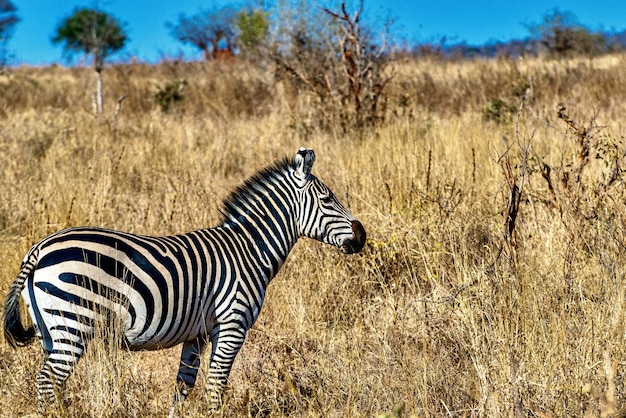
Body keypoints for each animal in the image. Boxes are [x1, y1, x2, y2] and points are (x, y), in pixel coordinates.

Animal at [3, 146, 366, 412]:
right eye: (328, 199)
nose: (362, 236)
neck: (251, 249)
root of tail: (39, 248)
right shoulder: (232, 325)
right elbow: (216, 387)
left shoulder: (197, 333)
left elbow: (183, 385)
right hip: (73, 323)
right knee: (48, 382)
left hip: (51, 329)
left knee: (48, 382)